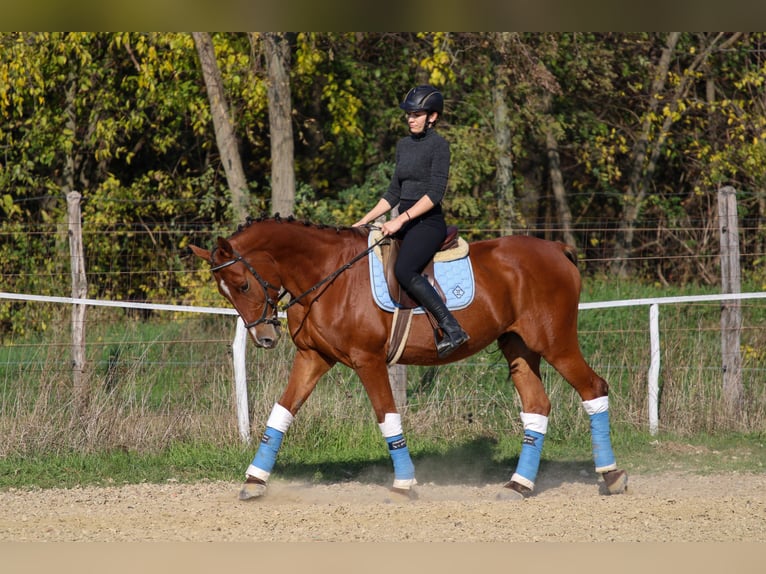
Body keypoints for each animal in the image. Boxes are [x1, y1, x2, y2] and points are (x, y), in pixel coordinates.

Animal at [189, 215, 628, 500]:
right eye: (226, 291)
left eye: (243, 284)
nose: (264, 337)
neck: (328, 274)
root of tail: (555, 248)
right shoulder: (312, 358)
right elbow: (280, 414)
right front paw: (254, 480)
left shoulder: (367, 361)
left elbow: (387, 417)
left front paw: (404, 484)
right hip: (518, 347)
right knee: (537, 406)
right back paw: (519, 485)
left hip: (555, 342)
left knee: (593, 389)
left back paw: (611, 476)